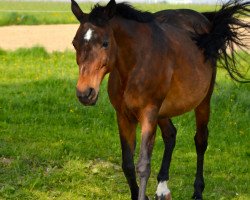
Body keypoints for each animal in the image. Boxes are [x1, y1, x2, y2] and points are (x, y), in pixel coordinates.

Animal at [70, 0, 248, 199]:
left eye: (105, 43)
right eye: (74, 43)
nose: (85, 93)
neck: (134, 66)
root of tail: (205, 20)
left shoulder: (148, 114)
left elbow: (143, 165)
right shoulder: (124, 117)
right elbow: (127, 164)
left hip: (202, 102)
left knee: (201, 140)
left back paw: (197, 191)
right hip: (162, 112)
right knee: (170, 134)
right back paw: (163, 188)